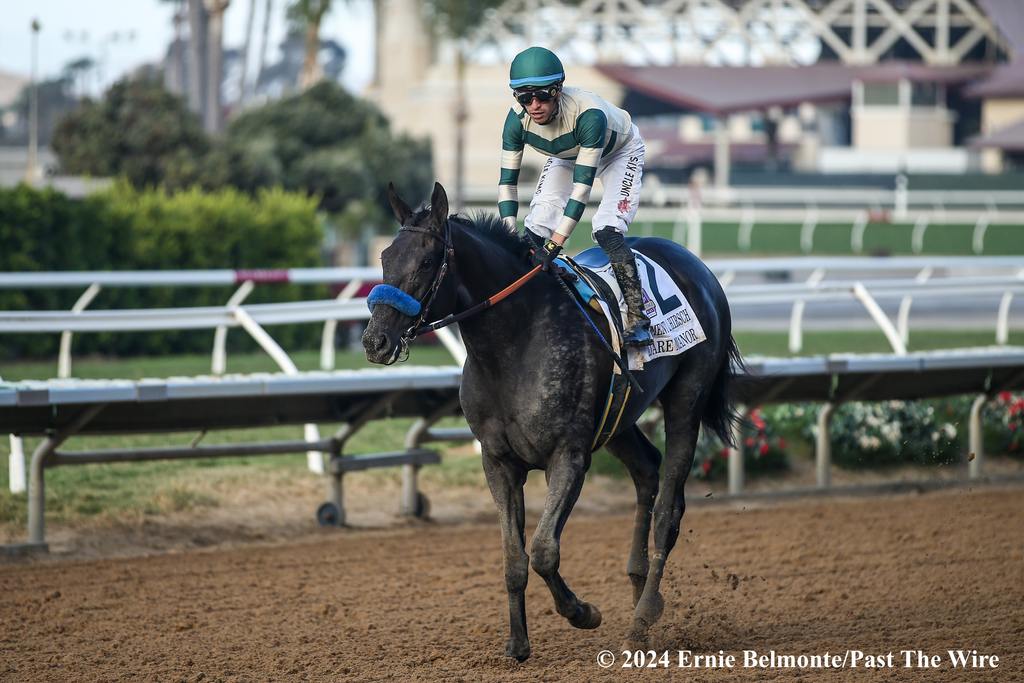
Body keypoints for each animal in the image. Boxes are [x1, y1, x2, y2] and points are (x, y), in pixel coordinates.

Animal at [364, 181, 741, 663]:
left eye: (427, 261)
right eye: (385, 257)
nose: (375, 341)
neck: (513, 344)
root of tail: (698, 267)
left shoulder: (568, 456)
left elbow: (543, 550)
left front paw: (583, 612)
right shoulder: (499, 462)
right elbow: (514, 558)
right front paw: (518, 644)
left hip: (686, 402)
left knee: (667, 510)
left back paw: (642, 619)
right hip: (619, 417)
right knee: (647, 471)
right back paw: (639, 588)